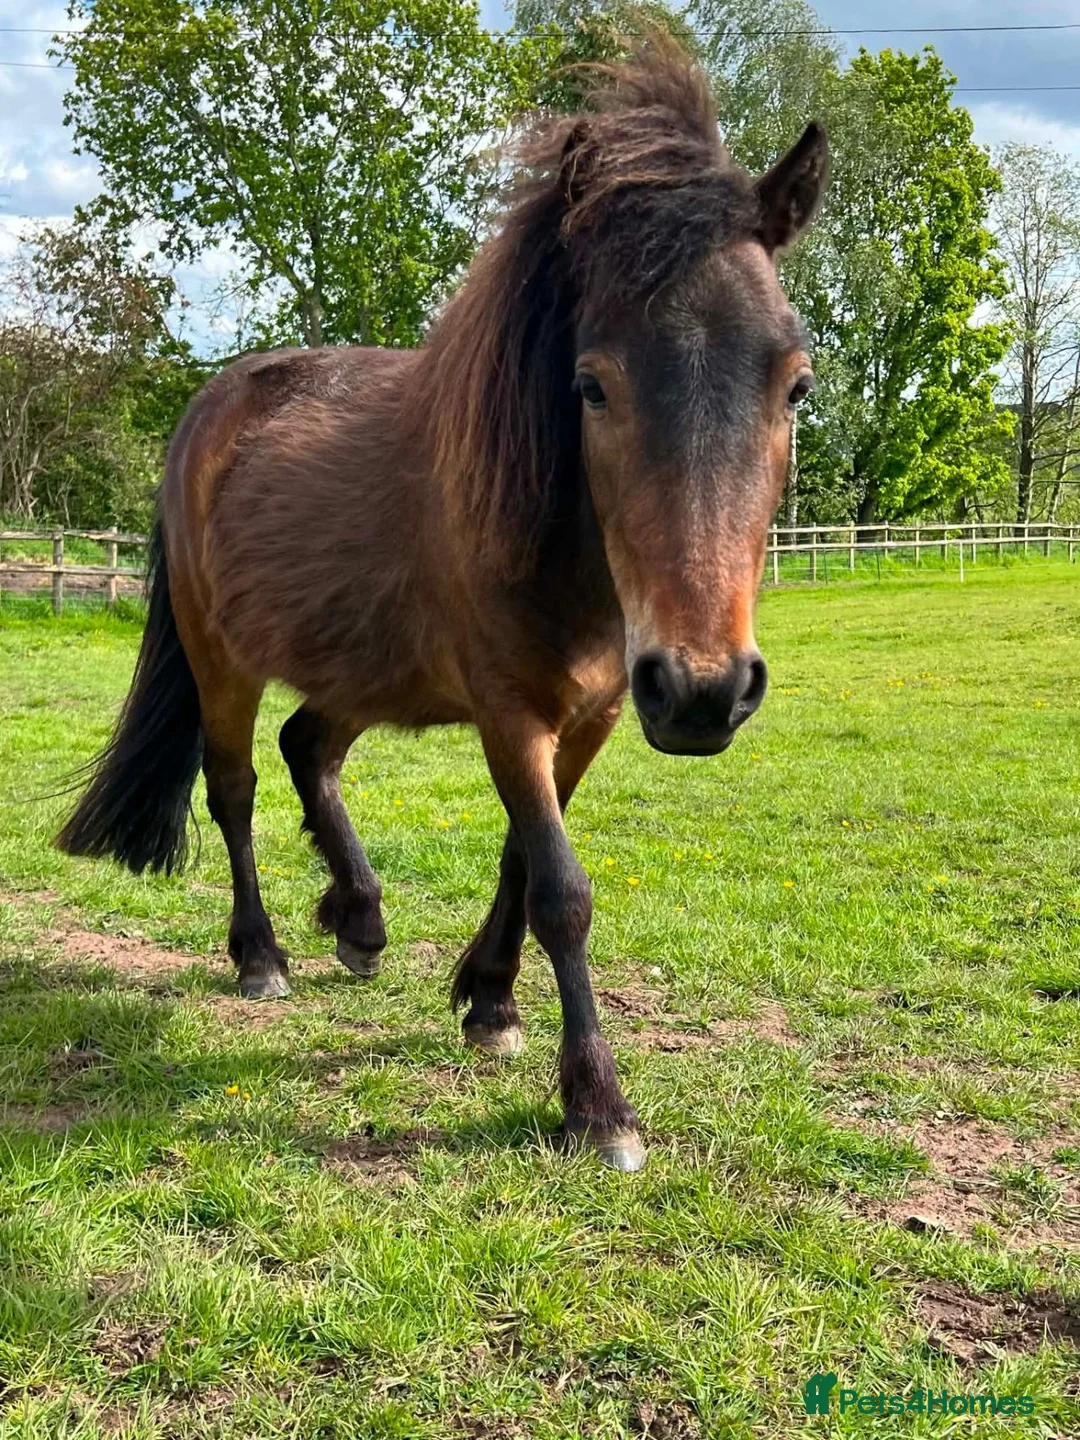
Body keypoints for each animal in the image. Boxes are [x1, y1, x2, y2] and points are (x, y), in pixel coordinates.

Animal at [58, 39, 827, 1172]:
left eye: (796, 385)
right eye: (591, 385)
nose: (701, 691)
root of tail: (212, 405)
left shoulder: (593, 713)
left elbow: (521, 859)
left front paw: (491, 1004)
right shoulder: (509, 711)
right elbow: (561, 889)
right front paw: (598, 1103)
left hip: (358, 667)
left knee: (310, 749)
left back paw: (360, 918)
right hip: (219, 657)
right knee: (236, 786)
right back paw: (262, 954)